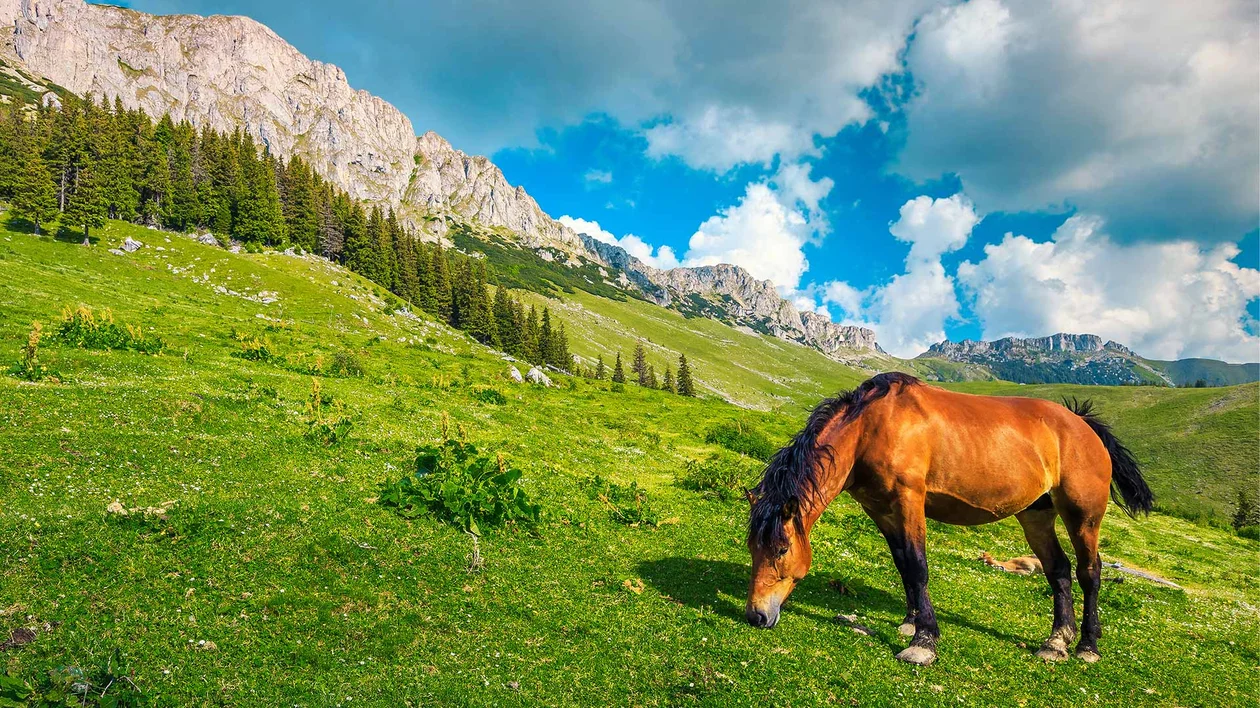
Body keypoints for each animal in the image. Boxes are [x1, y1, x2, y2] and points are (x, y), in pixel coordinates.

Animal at [744, 372, 1153, 666]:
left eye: (781, 549)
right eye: (752, 548)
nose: (756, 616)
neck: (872, 428)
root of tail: (1083, 424)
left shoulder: (909, 501)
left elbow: (917, 565)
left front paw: (924, 641)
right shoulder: (881, 510)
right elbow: (903, 565)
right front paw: (911, 622)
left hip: (1083, 516)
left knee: (1090, 572)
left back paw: (1087, 645)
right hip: (1036, 516)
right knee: (1059, 570)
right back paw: (1056, 642)